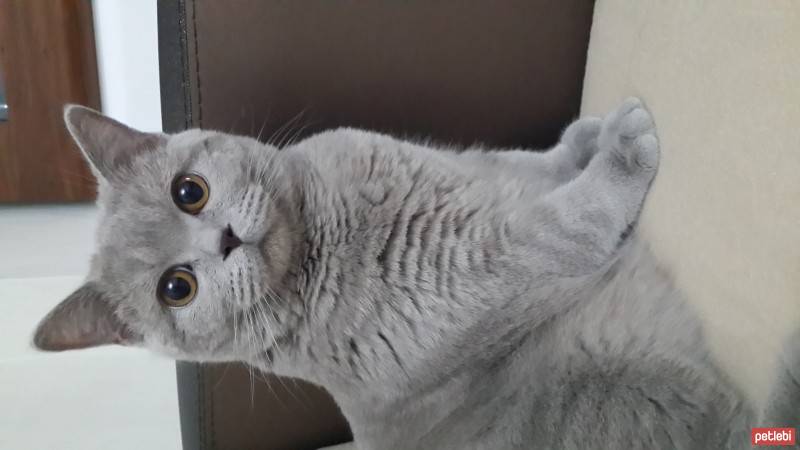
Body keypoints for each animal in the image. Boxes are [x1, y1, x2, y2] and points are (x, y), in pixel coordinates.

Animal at [32, 99, 800, 450]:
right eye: (176, 289)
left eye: (188, 191)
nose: (223, 239)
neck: (324, 226)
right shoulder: (504, 258)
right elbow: (572, 219)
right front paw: (623, 143)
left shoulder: (479, 172)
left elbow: (533, 163)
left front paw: (585, 134)